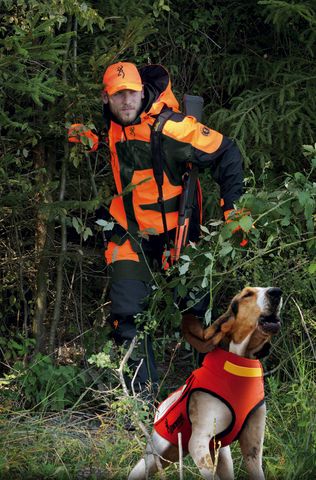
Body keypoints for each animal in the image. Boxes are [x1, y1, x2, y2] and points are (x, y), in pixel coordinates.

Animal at [128, 286, 284, 478]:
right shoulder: (198, 443)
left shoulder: (252, 450)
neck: (241, 364)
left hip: (221, 455)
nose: (276, 292)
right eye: (247, 294)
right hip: (152, 457)